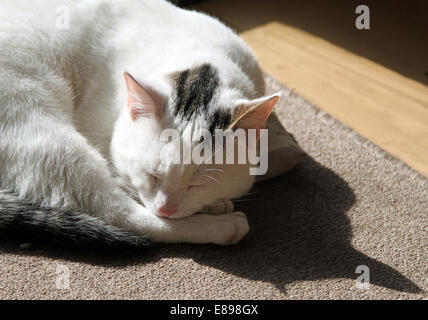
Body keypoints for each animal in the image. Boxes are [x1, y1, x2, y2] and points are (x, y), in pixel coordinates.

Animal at [0, 0, 280, 248]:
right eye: (151, 175)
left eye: (197, 185)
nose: (166, 209)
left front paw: (213, 203)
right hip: (52, 139)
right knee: (121, 215)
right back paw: (221, 226)